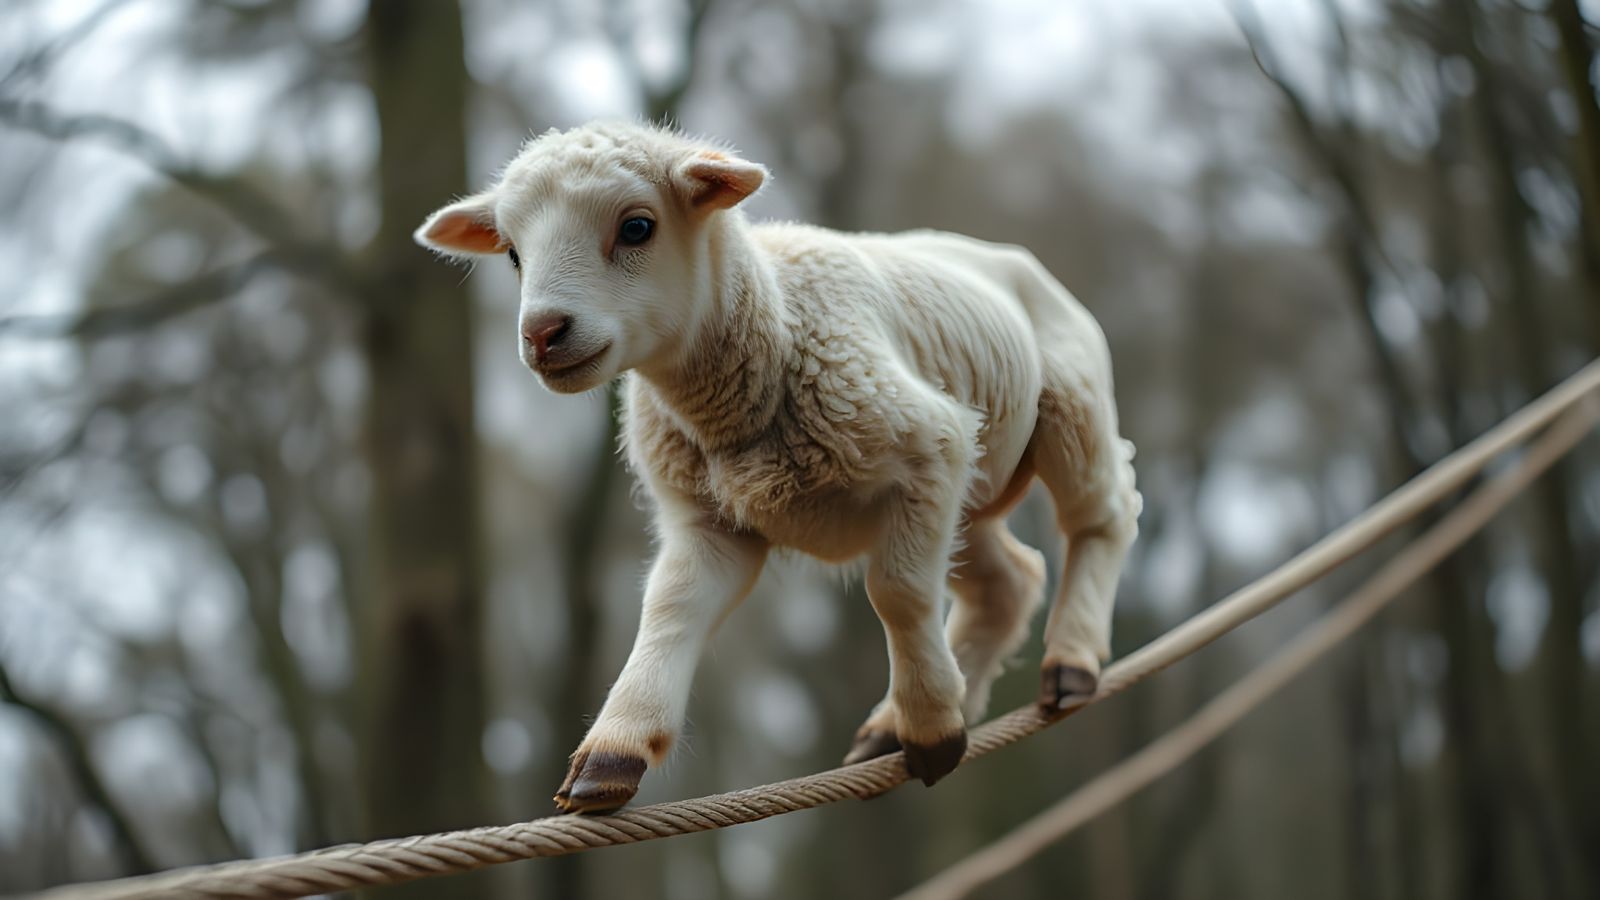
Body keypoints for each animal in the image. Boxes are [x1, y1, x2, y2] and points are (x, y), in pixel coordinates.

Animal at [415, 121, 1141, 814]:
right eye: (512, 252)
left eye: (638, 227)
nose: (541, 334)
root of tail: (1007, 258)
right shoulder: (708, 520)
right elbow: (670, 606)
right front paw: (612, 756)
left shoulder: (928, 441)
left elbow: (899, 593)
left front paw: (933, 729)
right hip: (971, 484)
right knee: (1007, 582)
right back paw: (899, 721)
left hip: (1070, 406)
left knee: (1101, 517)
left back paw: (1068, 663)